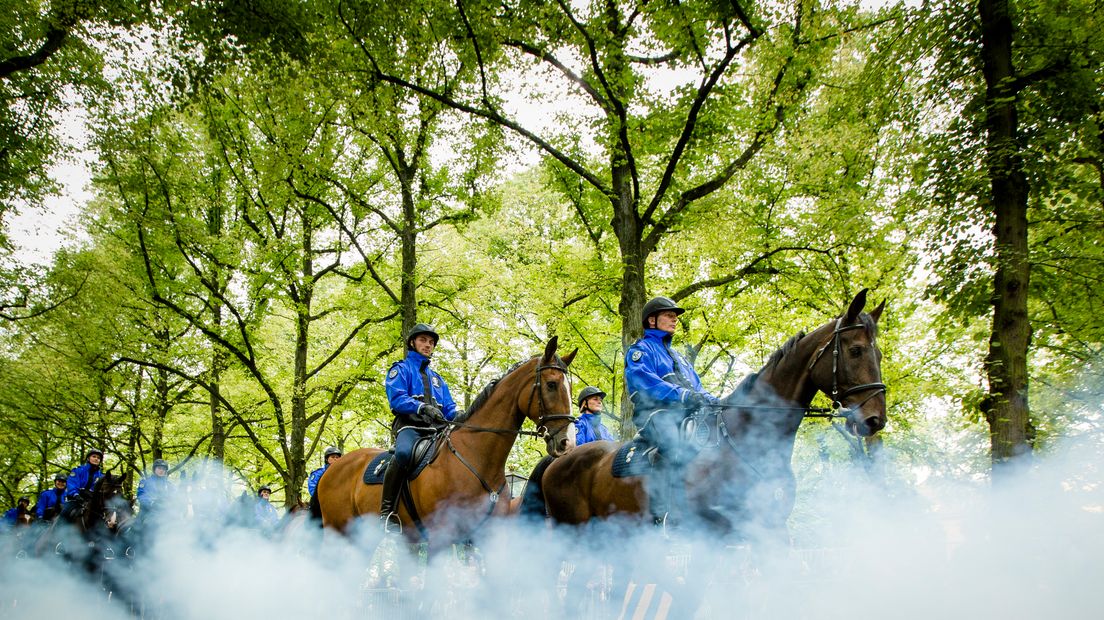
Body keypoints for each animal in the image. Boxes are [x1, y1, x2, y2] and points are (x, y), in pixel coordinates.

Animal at [317, 335, 578, 542]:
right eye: (551, 385)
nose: (567, 442)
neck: (477, 458)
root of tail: (332, 469)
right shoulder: (440, 536)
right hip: (339, 533)